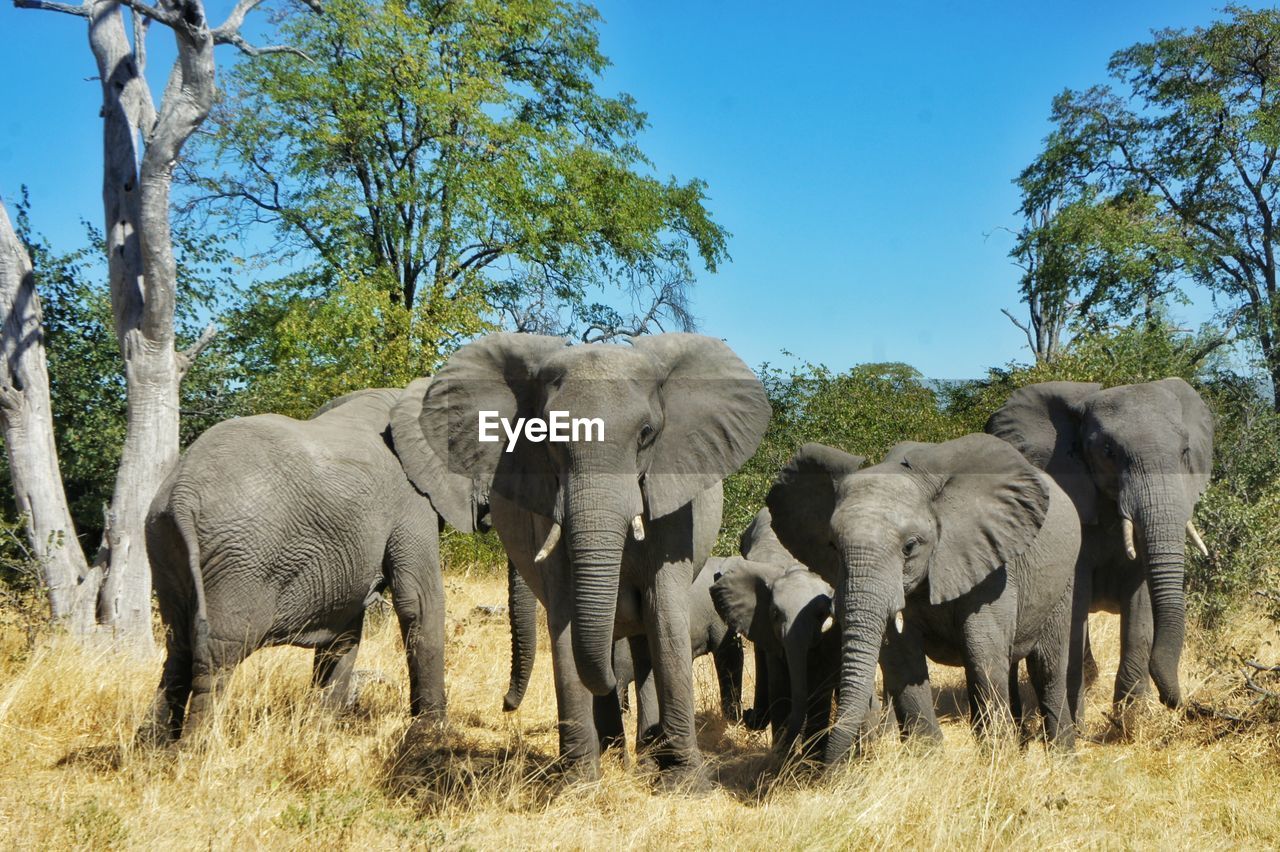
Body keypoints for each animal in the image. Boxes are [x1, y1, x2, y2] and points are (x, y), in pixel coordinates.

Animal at [138, 378, 481, 741]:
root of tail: (183, 491)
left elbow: (345, 627)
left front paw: (321, 729)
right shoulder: (412, 502)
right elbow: (419, 601)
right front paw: (433, 733)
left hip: (162, 542)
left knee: (177, 648)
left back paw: (153, 746)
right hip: (240, 559)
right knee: (218, 652)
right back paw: (197, 748)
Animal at [409, 332, 768, 782]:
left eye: (646, 434)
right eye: (544, 435)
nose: (505, 706)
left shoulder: (673, 507)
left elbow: (664, 616)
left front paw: (686, 781)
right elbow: (566, 620)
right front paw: (579, 782)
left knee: (645, 643)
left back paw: (646, 758)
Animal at [711, 555, 839, 752]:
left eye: (821, 615)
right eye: (775, 613)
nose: (747, 712)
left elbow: (820, 691)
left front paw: (810, 759)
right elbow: (779, 688)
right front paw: (781, 756)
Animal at [762, 434, 1085, 757]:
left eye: (910, 547)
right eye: (832, 546)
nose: (830, 765)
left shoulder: (993, 568)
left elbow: (984, 652)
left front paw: (996, 757)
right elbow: (900, 656)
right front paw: (927, 754)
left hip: (1064, 577)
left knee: (1046, 666)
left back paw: (1061, 754)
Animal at [983, 376, 1213, 701]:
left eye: (1185, 452)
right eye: (1108, 451)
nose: (1175, 701)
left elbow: (1141, 601)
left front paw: (1129, 714)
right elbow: (1076, 595)